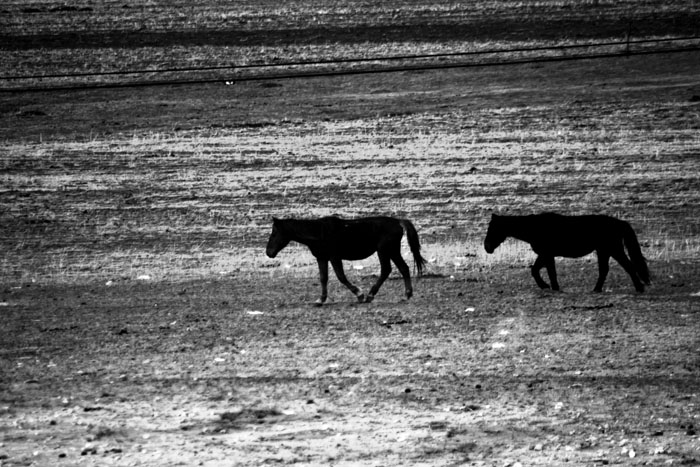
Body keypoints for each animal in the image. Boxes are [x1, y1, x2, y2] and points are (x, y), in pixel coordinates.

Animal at [266, 217, 424, 306]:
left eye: (274, 233)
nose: (269, 252)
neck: (319, 232)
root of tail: (398, 222)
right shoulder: (322, 258)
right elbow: (323, 278)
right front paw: (321, 299)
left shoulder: (335, 257)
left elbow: (341, 277)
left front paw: (359, 294)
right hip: (392, 251)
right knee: (404, 268)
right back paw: (407, 294)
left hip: (384, 251)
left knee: (386, 270)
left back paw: (370, 295)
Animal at [484, 213, 648, 292]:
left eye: (492, 228)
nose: (487, 247)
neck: (535, 227)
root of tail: (619, 223)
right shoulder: (545, 255)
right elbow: (537, 270)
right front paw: (549, 286)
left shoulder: (547, 254)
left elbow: (546, 272)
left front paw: (549, 286)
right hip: (604, 251)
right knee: (604, 271)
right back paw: (596, 290)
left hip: (614, 250)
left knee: (628, 267)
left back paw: (639, 288)